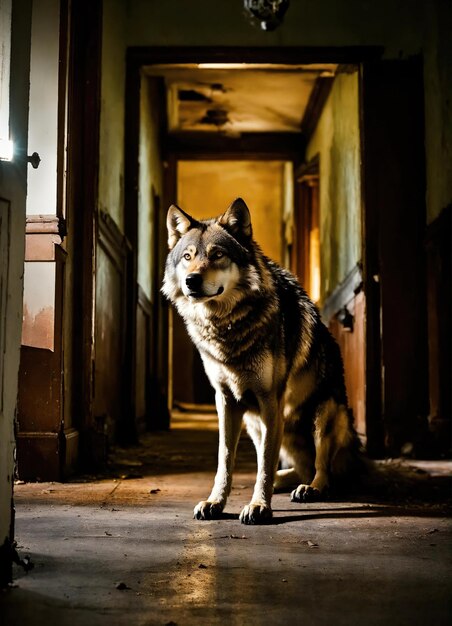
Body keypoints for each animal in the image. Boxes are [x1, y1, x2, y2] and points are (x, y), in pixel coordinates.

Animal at [162, 197, 360, 524]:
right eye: (188, 257)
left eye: (217, 255)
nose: (191, 280)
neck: (226, 327)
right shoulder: (225, 400)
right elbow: (225, 460)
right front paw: (215, 502)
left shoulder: (270, 400)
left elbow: (266, 463)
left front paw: (259, 506)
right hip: (255, 424)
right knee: (294, 467)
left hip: (325, 413)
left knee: (323, 471)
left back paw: (311, 488)